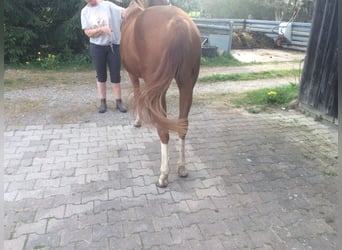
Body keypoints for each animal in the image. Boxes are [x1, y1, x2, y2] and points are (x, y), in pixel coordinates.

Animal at [120, 0, 200, 188]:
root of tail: (178, 23)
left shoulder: (133, 76)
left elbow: (138, 96)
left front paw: (138, 121)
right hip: (187, 84)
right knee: (183, 126)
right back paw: (182, 168)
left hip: (159, 90)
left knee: (164, 131)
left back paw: (163, 175)